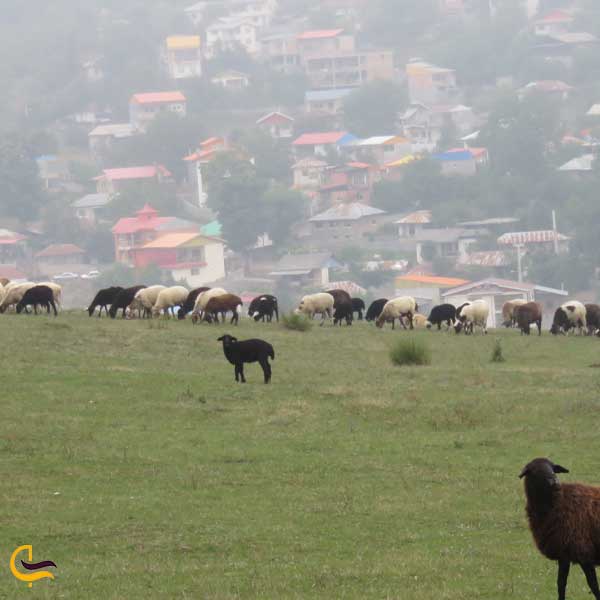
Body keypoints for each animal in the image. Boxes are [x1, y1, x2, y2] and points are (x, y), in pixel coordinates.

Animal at [516, 458, 600, 596]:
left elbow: (593, 586)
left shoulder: (582, 550)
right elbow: (561, 584)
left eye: (553, 469)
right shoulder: (563, 554)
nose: (555, 482)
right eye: (535, 470)